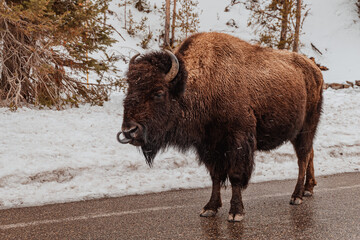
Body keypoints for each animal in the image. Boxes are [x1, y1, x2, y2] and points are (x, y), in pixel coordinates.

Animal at [118, 32, 324, 222]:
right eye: (129, 90)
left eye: (159, 92)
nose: (129, 131)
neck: (205, 83)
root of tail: (314, 69)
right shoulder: (209, 146)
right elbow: (215, 176)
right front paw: (210, 208)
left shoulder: (237, 142)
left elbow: (235, 176)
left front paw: (236, 212)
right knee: (310, 153)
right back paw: (308, 189)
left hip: (306, 127)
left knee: (303, 157)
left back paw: (296, 196)